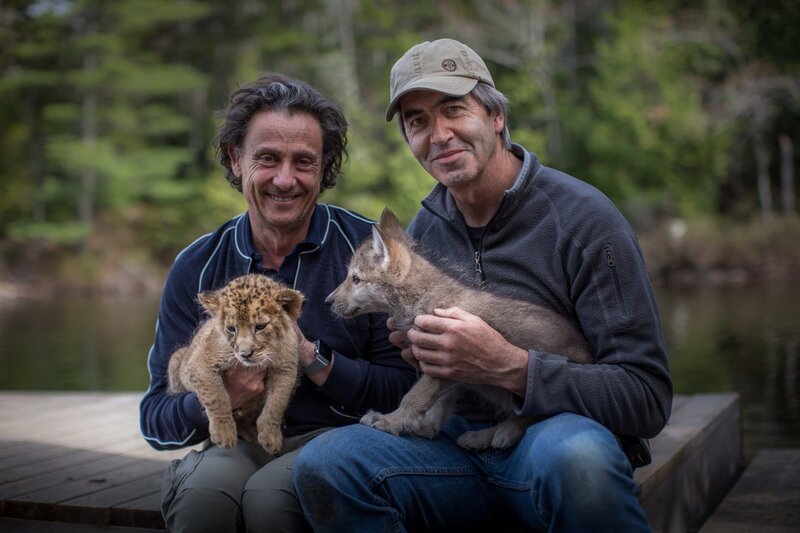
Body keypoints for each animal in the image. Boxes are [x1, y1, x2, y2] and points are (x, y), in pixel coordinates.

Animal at [326, 208, 592, 450]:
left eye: (356, 279)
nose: (327, 301)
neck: (423, 297)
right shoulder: (450, 369)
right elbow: (440, 403)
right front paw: (426, 427)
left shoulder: (443, 360)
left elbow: (414, 397)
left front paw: (392, 421)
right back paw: (481, 436)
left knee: (536, 411)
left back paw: (504, 431)